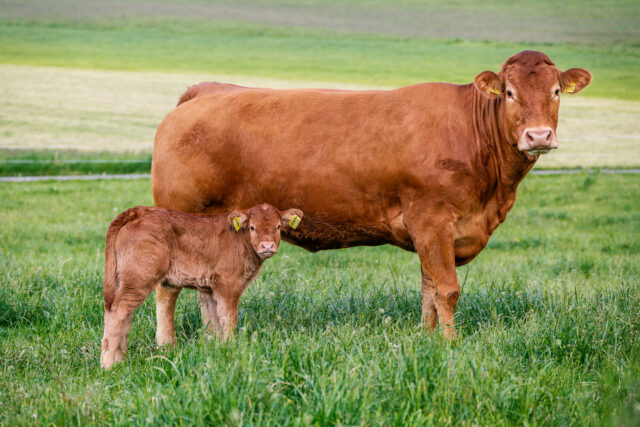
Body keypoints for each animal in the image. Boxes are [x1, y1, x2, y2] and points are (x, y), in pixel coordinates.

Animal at [99, 203, 302, 368]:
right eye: (252, 227)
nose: (267, 246)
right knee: (117, 312)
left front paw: (218, 349)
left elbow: (214, 320)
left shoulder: (210, 288)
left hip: (125, 280)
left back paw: (121, 360)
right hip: (140, 277)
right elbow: (228, 319)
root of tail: (138, 211)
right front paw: (230, 349)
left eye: (278, 226)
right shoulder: (229, 285)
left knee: (125, 315)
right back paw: (107, 365)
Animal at [152, 50, 592, 340]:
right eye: (510, 93)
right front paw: (450, 347)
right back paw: (167, 344)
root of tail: (206, 90)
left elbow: (429, 290)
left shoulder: (433, 232)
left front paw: (426, 340)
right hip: (177, 218)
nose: (538, 136)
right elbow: (447, 288)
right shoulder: (433, 220)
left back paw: (212, 339)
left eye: (556, 91)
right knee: (167, 288)